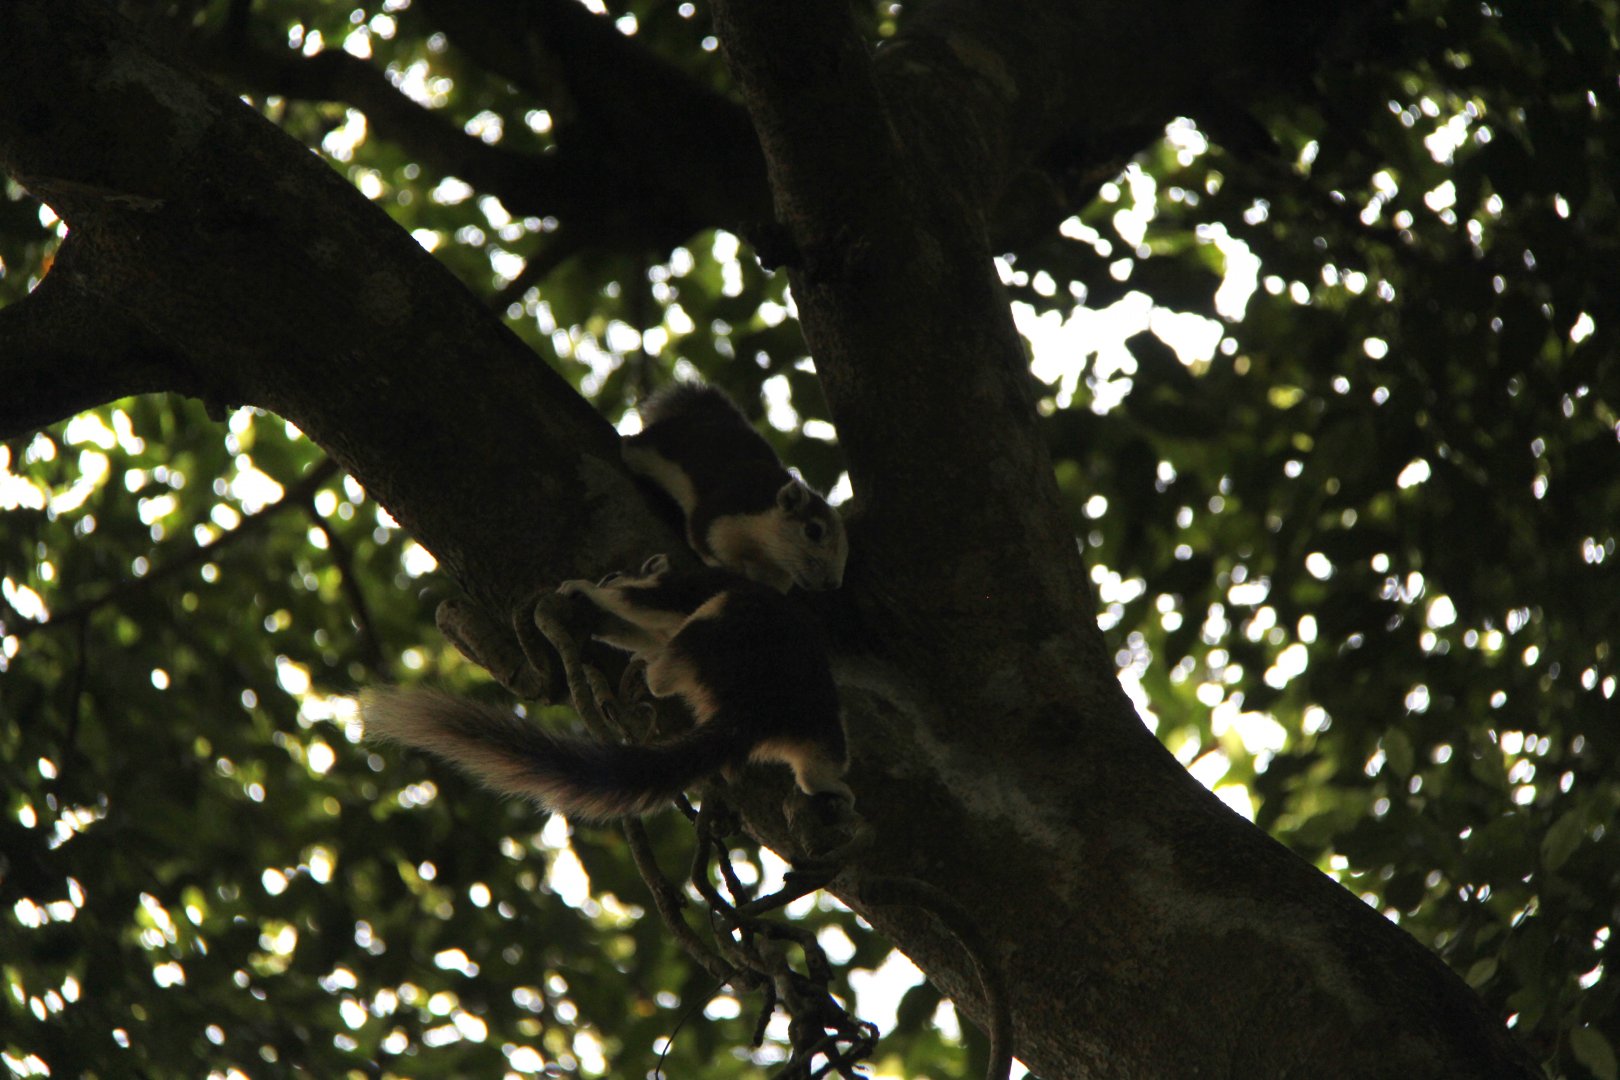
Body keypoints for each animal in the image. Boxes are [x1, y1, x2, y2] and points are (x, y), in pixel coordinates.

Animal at [361, 556, 852, 821]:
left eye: (613, 574)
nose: (602, 579)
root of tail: (755, 710)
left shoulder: (675, 589)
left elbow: (633, 605)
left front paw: (585, 591)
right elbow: (633, 626)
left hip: (730, 631)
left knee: (682, 653)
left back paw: (652, 671)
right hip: (818, 726)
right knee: (824, 762)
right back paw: (832, 789)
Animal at [621, 382, 848, 593]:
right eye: (813, 531)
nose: (832, 583)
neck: (761, 550)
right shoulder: (719, 512)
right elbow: (704, 540)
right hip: (651, 446)